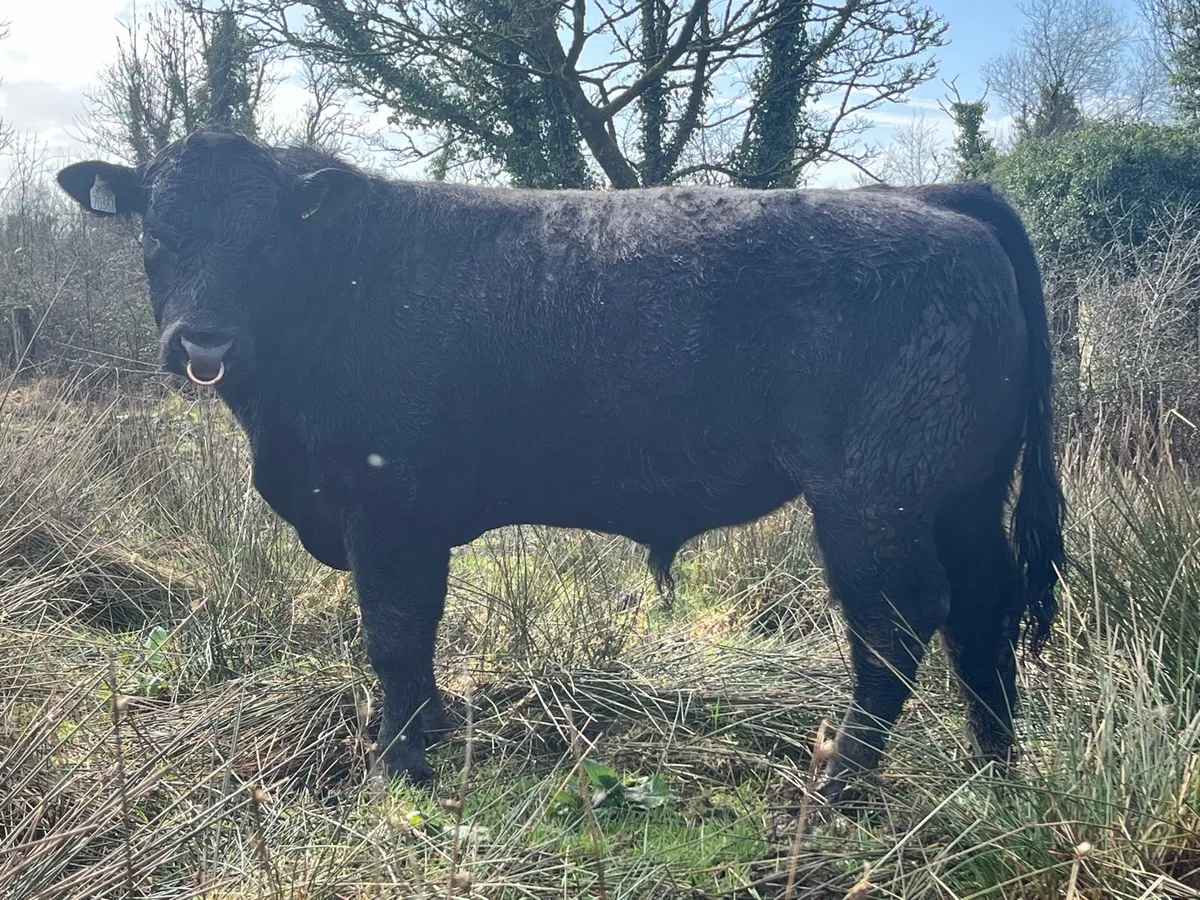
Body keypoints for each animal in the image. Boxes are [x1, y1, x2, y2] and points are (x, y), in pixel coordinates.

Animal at [56, 126, 1065, 803]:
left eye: (266, 237)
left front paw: (400, 764)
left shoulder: (388, 508)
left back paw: (840, 786)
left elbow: (395, 635)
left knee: (898, 622)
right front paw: (428, 735)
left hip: (872, 497)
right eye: (154, 232)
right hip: (963, 490)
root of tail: (935, 196)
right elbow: (417, 638)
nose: (203, 340)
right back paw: (994, 771)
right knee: (985, 607)